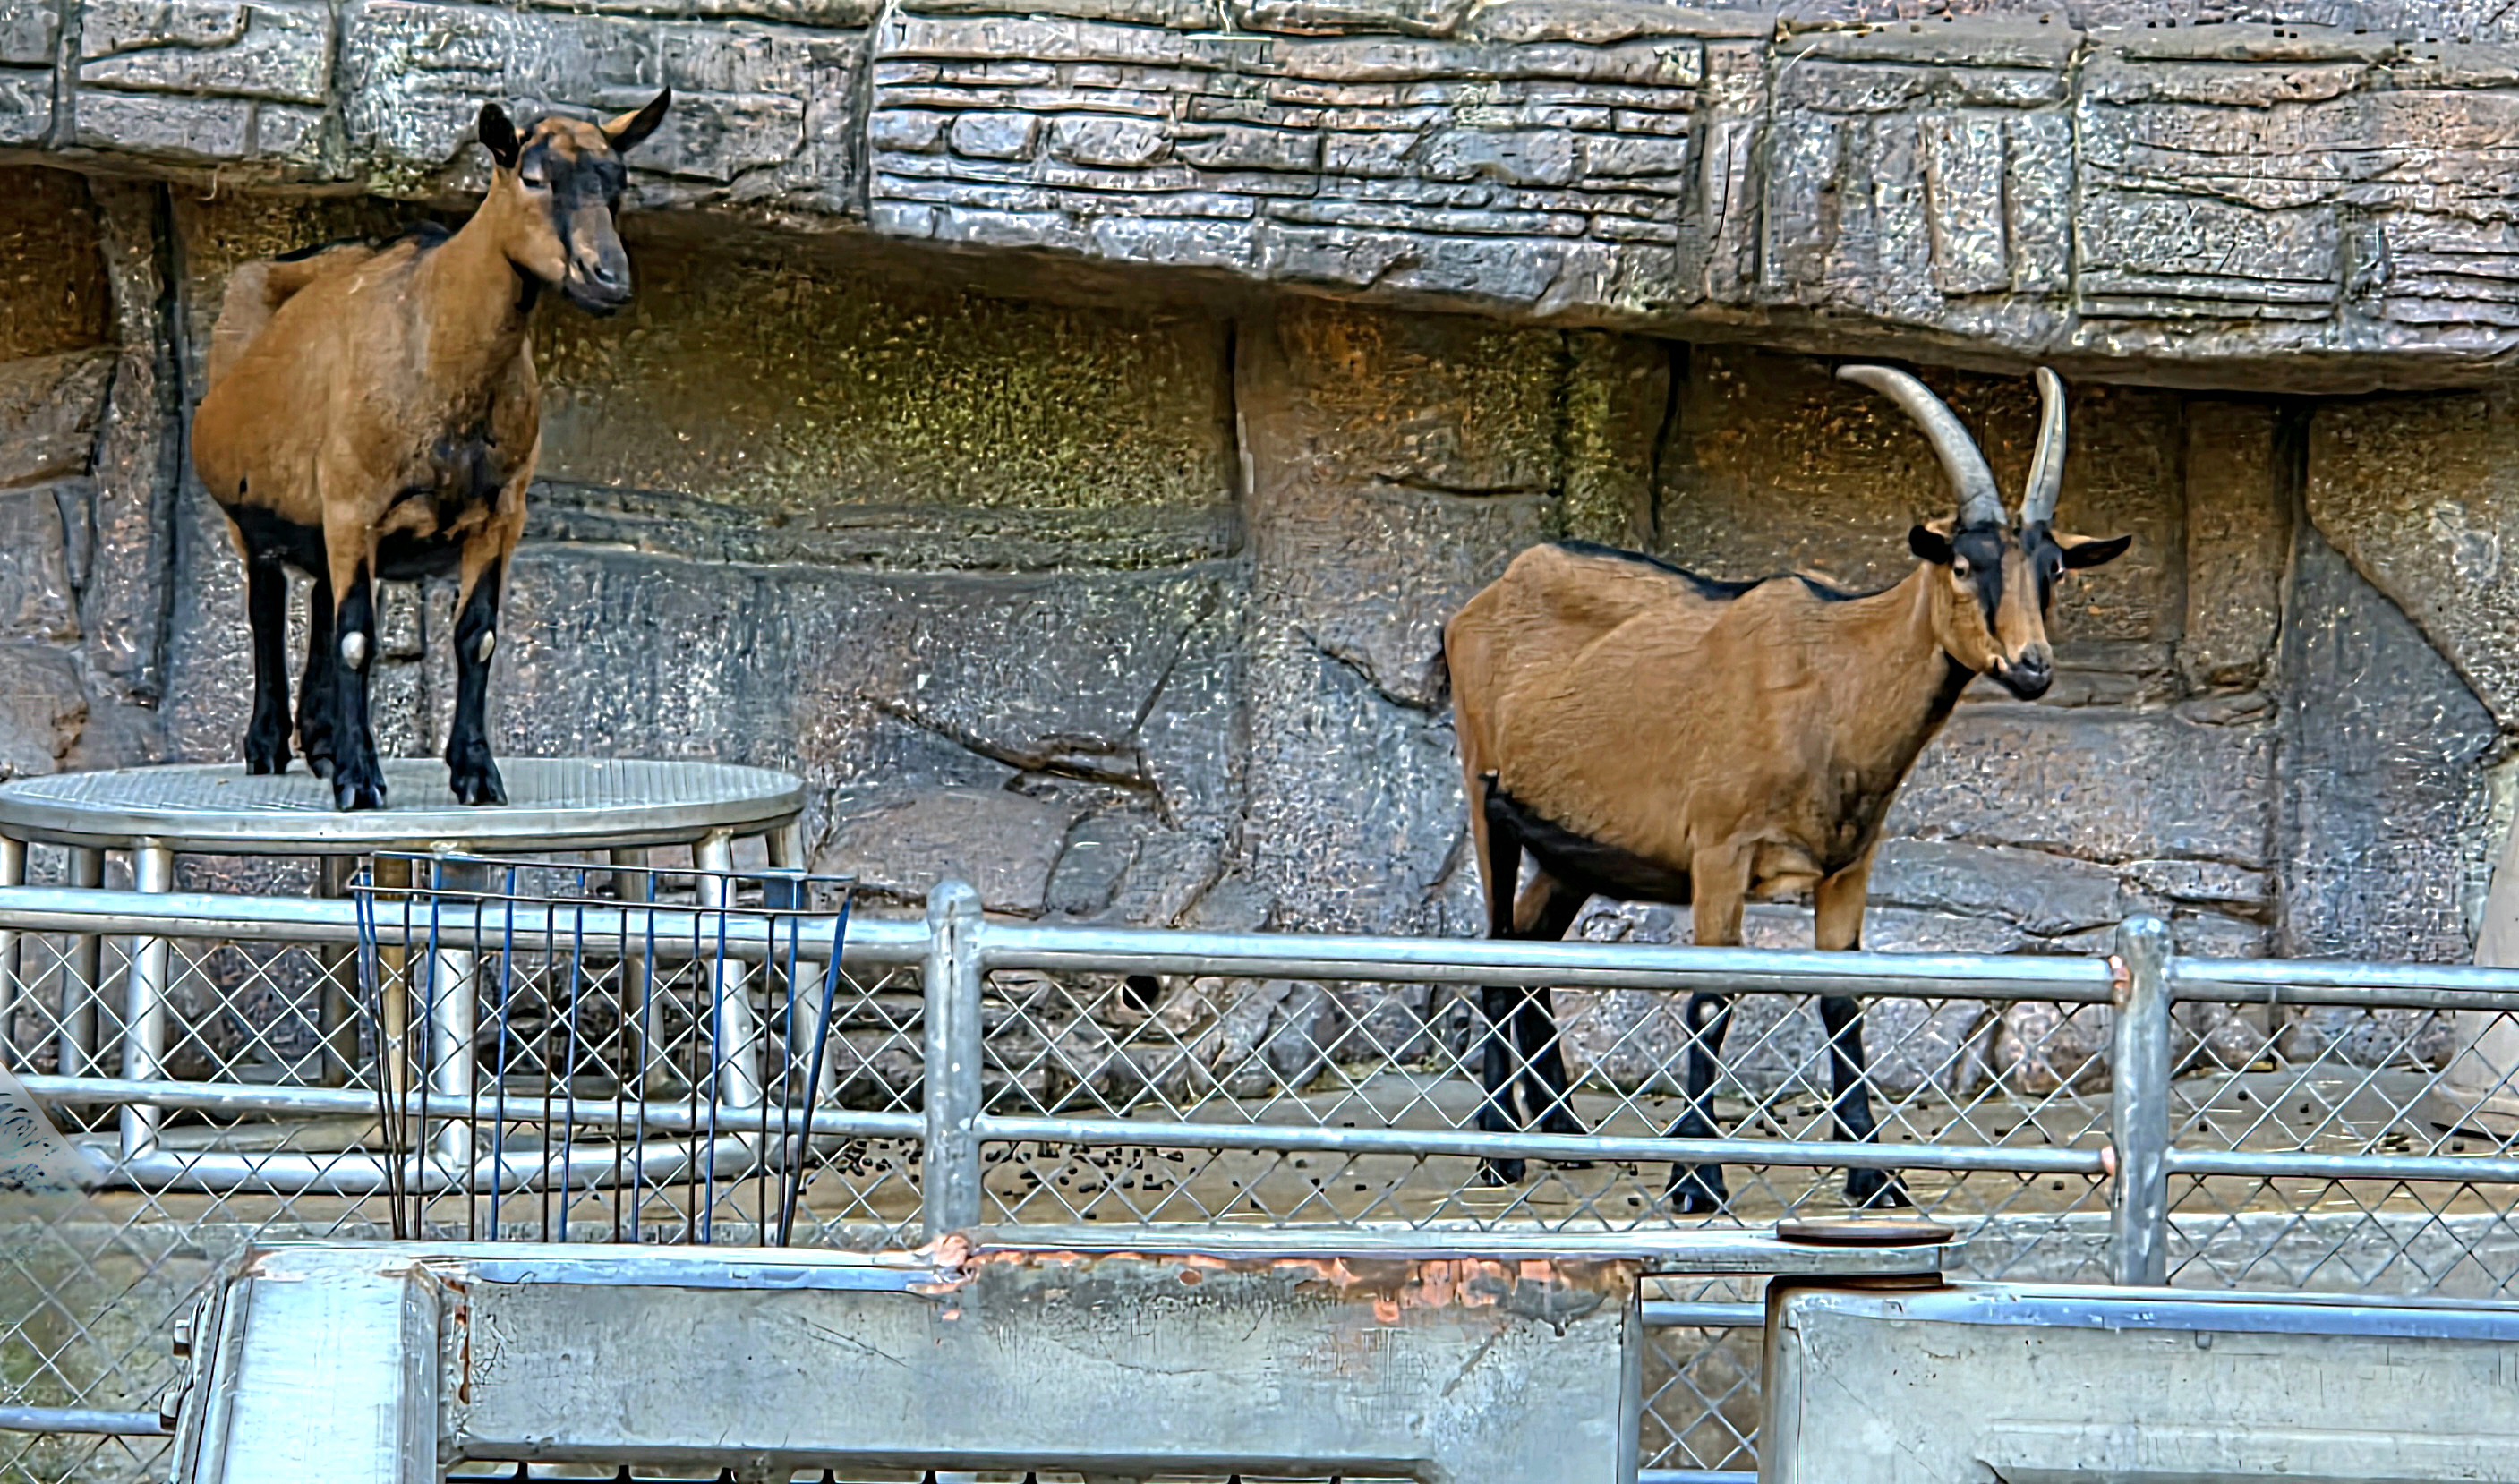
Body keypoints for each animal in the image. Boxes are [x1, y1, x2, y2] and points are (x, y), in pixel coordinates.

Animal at [191, 93, 672, 810]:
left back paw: (322, 742)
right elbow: (357, 640)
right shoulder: (354, 501)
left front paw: (475, 772)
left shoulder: (500, 515)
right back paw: (269, 745)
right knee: (268, 609)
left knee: (319, 604)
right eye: (533, 177)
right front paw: (361, 781)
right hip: (250, 515)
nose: (607, 278)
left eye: (617, 186)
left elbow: (477, 637)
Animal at [1442, 364, 2130, 1211]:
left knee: (1533, 947)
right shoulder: (1719, 852)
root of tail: (1490, 597)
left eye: (2052, 570)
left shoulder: (1848, 866)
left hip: (1573, 843)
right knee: (1497, 950)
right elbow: (1712, 1000)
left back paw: (1564, 1134)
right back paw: (1497, 1149)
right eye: (1964, 565)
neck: (1834, 678)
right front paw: (1697, 1179)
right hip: (1487, 795)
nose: (2032, 666)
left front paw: (1873, 1176)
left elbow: (1842, 1000)